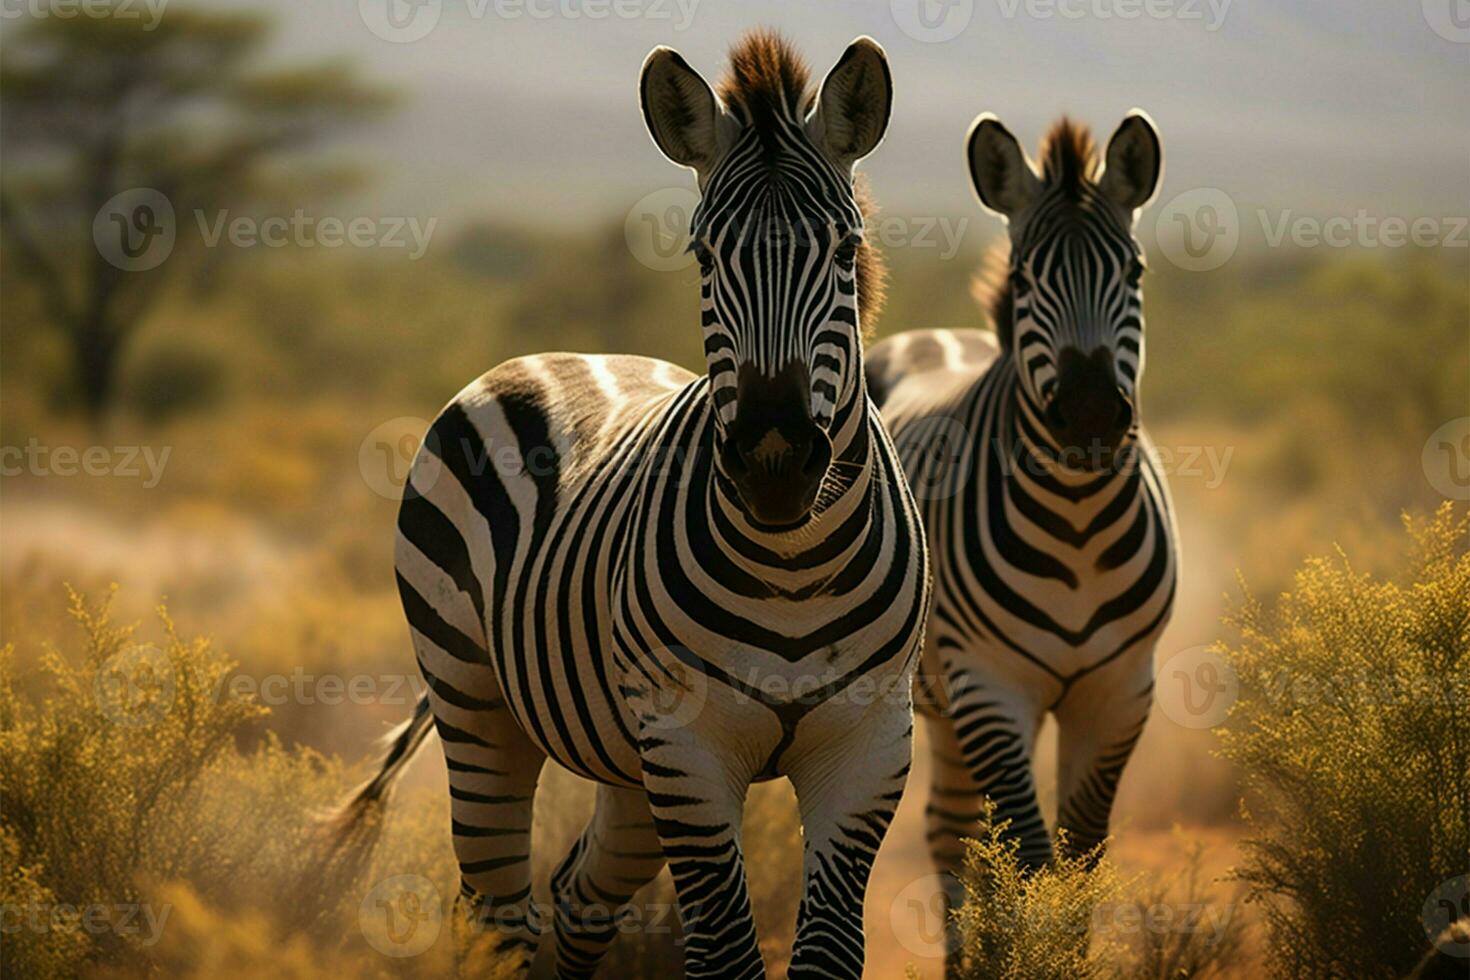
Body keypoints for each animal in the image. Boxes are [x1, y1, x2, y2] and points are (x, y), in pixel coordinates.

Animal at [336, 30, 929, 980]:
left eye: (844, 251)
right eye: (704, 257)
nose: (772, 463)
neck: (795, 567)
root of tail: (561, 352)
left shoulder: (868, 744)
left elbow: (829, 953)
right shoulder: (689, 750)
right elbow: (724, 955)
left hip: (627, 764)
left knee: (576, 896)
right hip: (477, 704)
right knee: (497, 913)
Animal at [864, 113, 1176, 952]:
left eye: (1134, 272)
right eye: (1028, 276)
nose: (1092, 414)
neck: (1078, 525)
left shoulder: (1120, 691)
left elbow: (1081, 856)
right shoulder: (989, 683)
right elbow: (1031, 859)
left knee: (963, 833)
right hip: (943, 693)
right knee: (954, 838)